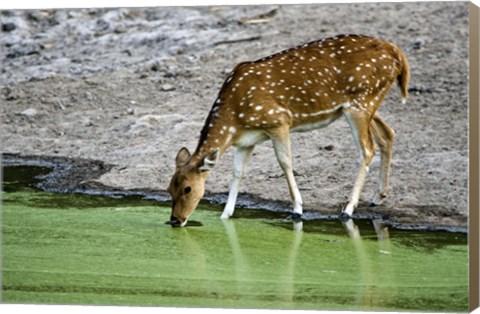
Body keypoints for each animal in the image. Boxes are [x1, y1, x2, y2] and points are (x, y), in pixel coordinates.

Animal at [168, 33, 408, 226]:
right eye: (170, 188)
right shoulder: (246, 141)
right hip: (366, 104)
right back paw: (378, 197)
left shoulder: (278, 120)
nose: (175, 220)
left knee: (367, 149)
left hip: (361, 102)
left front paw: (298, 209)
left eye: (188, 188)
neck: (234, 118)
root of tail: (397, 54)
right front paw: (225, 215)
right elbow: (238, 172)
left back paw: (348, 209)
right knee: (388, 133)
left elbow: (285, 162)